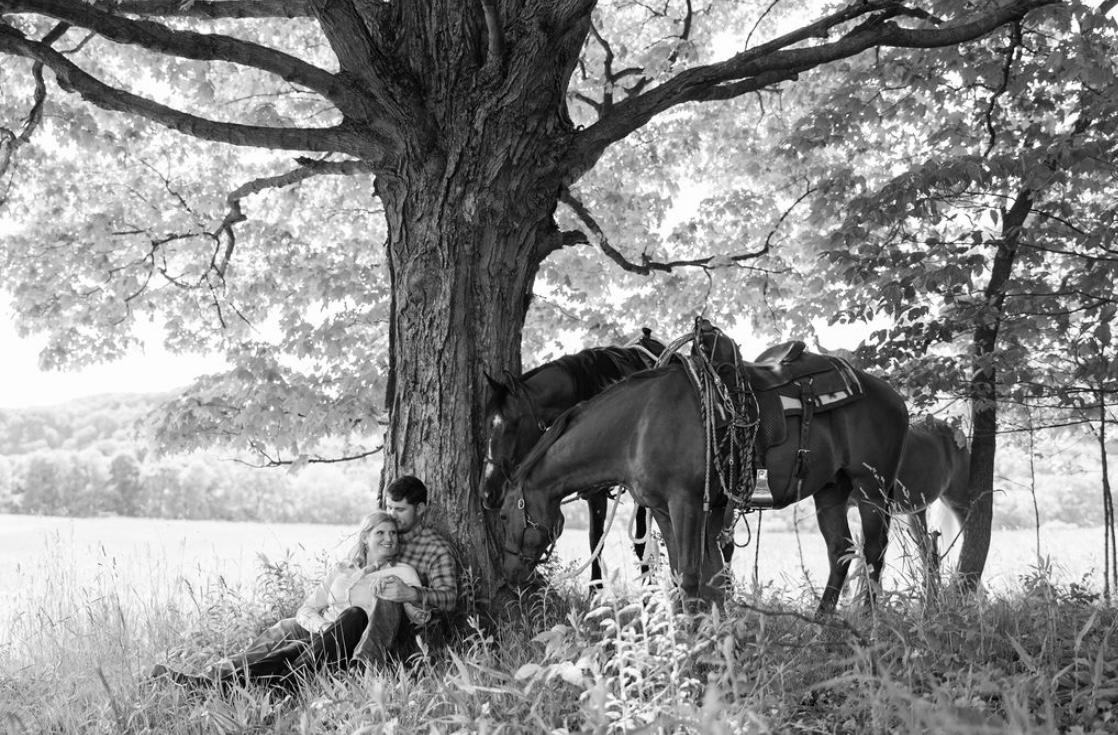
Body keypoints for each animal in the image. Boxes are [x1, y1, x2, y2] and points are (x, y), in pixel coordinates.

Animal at [500, 324, 907, 608]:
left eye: (504, 516)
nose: (509, 576)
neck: (639, 423)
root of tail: (893, 395)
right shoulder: (663, 508)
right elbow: (687, 574)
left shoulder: (687, 503)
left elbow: (693, 576)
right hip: (831, 491)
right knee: (840, 551)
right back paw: (823, 622)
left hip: (871, 489)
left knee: (874, 553)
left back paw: (868, 622)